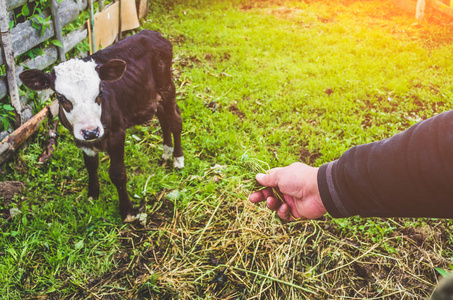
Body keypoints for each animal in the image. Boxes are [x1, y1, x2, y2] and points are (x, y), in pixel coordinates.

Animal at [19, 30, 182, 221]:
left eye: (99, 92)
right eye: (61, 97)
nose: (91, 131)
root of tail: (152, 33)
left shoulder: (117, 133)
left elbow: (118, 174)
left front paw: (127, 211)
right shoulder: (82, 139)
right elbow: (91, 166)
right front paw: (92, 195)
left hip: (167, 88)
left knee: (175, 121)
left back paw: (178, 159)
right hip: (150, 97)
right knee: (164, 119)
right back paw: (167, 152)